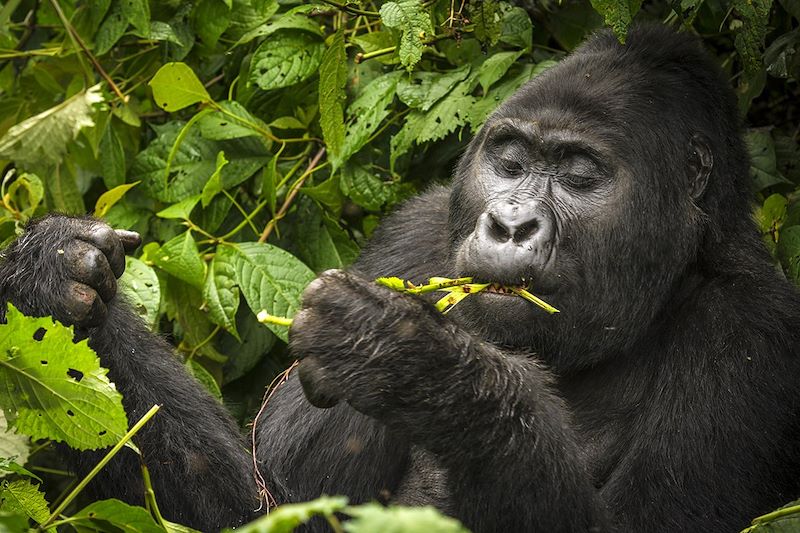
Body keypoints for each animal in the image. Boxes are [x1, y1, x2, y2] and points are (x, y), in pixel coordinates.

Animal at [1, 23, 800, 532]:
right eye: (510, 162)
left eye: (579, 176)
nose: (509, 224)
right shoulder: (412, 237)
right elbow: (261, 510)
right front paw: (55, 280)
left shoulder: (756, 336)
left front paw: (415, 362)